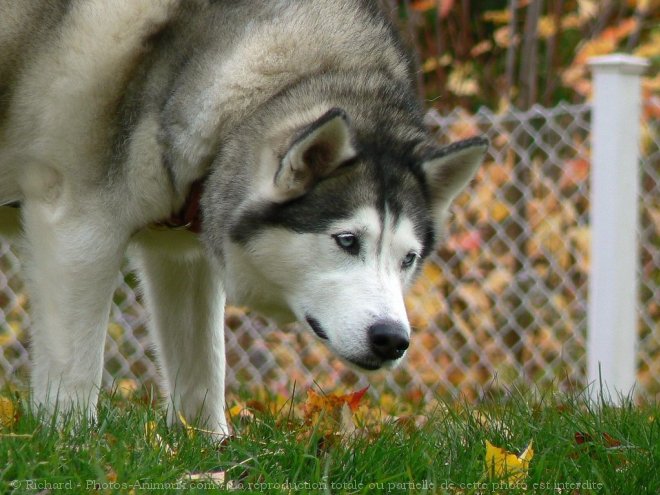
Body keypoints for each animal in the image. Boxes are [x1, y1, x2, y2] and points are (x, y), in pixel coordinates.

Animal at [0, 0, 484, 434]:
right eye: (347, 240)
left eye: (409, 259)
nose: (393, 339)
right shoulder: (79, 230)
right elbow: (75, 378)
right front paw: (72, 445)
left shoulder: (184, 259)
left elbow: (204, 374)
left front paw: (205, 454)